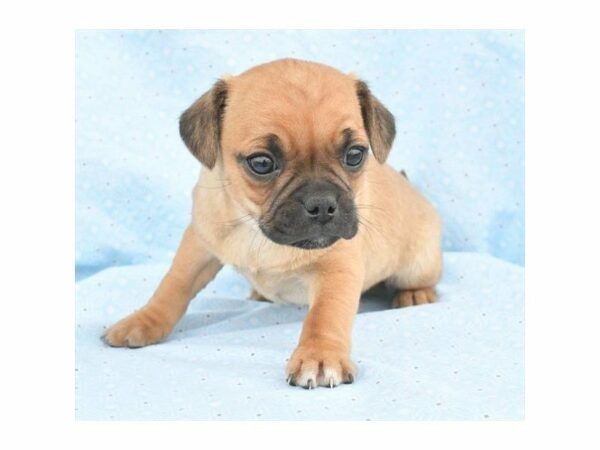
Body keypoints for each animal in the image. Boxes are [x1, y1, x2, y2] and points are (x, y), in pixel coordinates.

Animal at [102, 58, 440, 388]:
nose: (322, 204)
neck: (255, 228)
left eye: (355, 154)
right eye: (262, 163)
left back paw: (415, 295)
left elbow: (325, 314)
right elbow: (174, 285)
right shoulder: (199, 243)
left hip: (418, 264)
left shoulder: (338, 268)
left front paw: (319, 356)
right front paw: (143, 321)